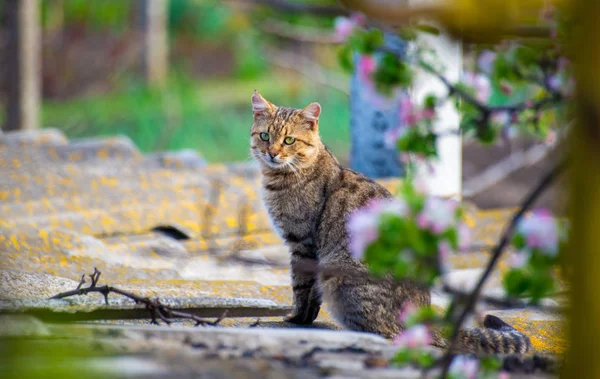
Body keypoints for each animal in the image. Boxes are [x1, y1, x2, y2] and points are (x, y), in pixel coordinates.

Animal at [248, 92, 528, 356]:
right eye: (264, 136)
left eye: (289, 140)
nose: (272, 153)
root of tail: (425, 317)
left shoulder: (302, 243)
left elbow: (301, 288)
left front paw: (297, 318)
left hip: (339, 276)